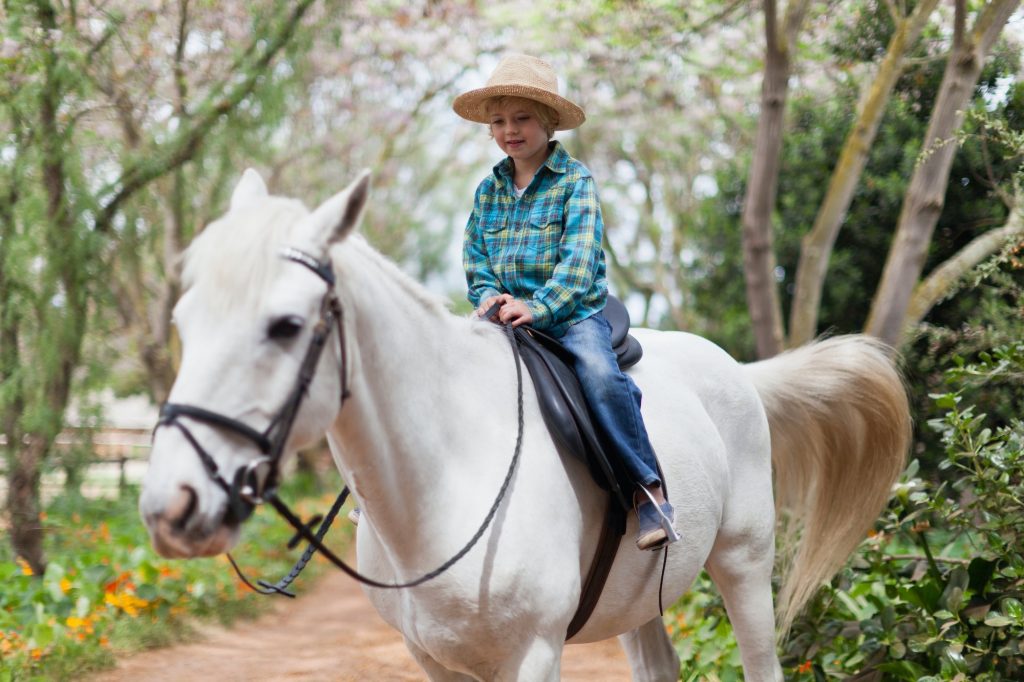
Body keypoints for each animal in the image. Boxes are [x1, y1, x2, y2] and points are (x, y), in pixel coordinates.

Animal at [138, 169, 913, 679]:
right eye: (184, 321)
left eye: (286, 326)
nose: (171, 506)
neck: (447, 476)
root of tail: (740, 373)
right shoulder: (434, 661)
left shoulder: (533, 654)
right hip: (646, 600)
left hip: (745, 565)